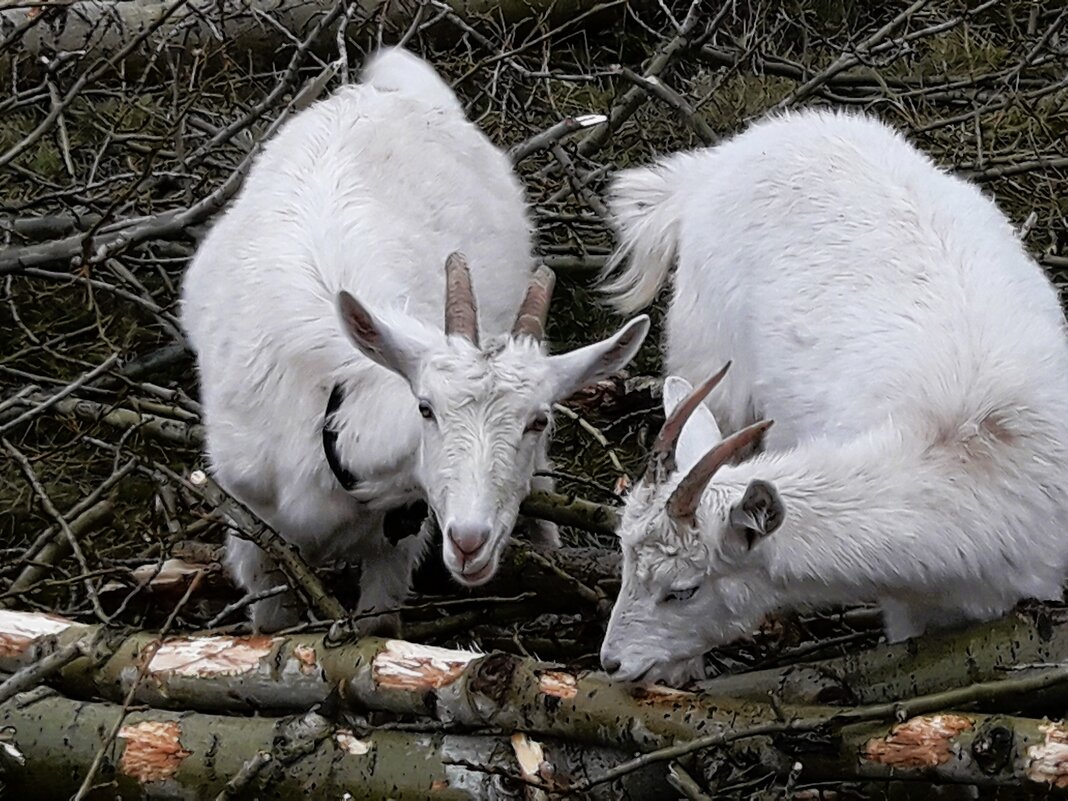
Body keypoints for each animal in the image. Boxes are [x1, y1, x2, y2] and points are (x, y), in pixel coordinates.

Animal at [182, 46, 645, 632]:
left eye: (538, 420)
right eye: (426, 408)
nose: (470, 542)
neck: (332, 415)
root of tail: (387, 90)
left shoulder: (401, 537)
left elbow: (377, 631)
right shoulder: (251, 526)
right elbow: (270, 627)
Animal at [598, 105, 1068, 683]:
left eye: (683, 590)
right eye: (623, 559)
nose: (612, 662)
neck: (973, 452)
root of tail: (712, 166)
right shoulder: (907, 610)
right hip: (707, 357)